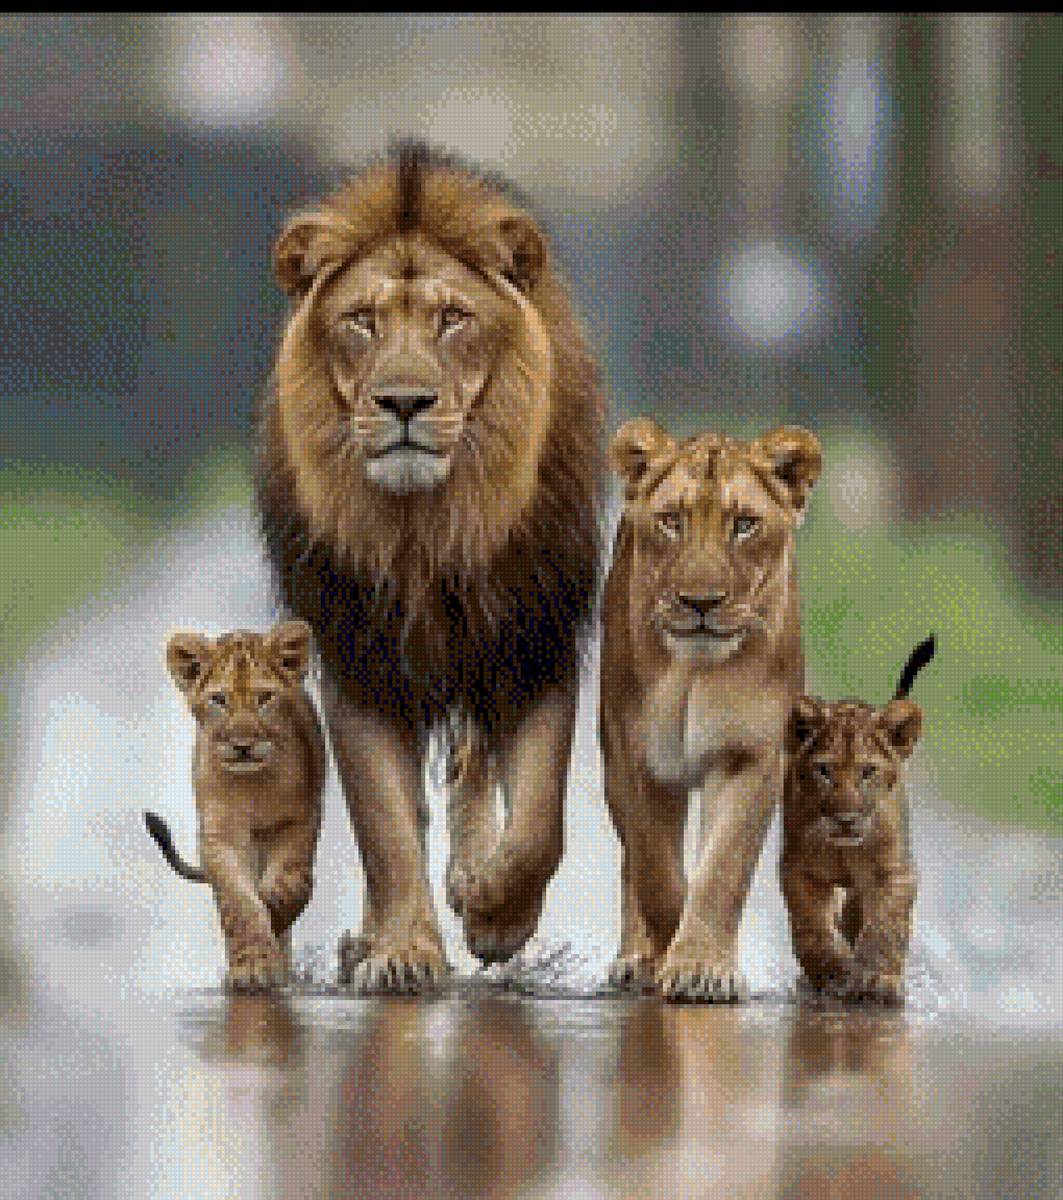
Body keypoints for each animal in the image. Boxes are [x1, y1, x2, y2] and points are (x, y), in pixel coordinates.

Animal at [144, 620, 325, 991]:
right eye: (219, 699)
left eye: (264, 698)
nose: (243, 746)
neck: (251, 786)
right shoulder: (220, 836)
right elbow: (239, 902)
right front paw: (252, 964)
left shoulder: (299, 820)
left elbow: (288, 885)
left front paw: (274, 914)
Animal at [255, 141, 605, 991]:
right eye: (361, 320)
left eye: (452, 319)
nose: (404, 402)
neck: (426, 526)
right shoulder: (359, 656)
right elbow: (383, 824)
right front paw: (403, 951)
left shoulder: (534, 640)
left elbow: (539, 822)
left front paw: (494, 914)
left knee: (473, 767)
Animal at [601, 419, 823, 1002]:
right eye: (671, 521)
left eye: (744, 524)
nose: (701, 603)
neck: (696, 672)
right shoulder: (638, 756)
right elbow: (655, 871)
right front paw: (668, 954)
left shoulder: (753, 757)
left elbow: (721, 871)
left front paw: (703, 966)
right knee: (631, 863)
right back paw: (635, 958)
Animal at [780, 635, 935, 1005]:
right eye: (824, 770)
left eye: (868, 772)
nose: (846, 819)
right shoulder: (798, 869)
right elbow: (811, 927)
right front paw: (834, 974)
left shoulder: (894, 872)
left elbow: (886, 926)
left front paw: (878, 980)